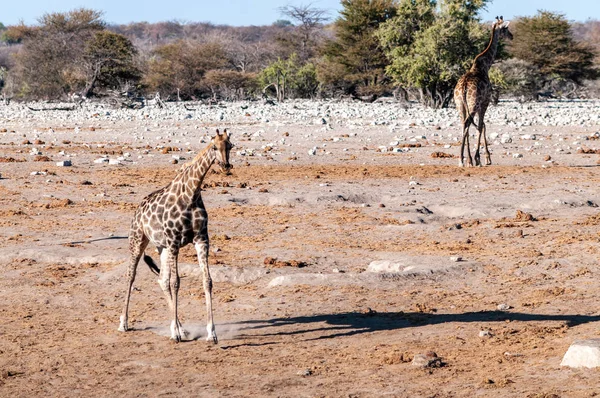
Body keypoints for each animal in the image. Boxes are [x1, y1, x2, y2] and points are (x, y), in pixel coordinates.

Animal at [119, 128, 234, 342]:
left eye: (230, 146)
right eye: (214, 147)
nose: (225, 166)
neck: (191, 194)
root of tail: (138, 208)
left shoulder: (201, 239)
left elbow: (207, 281)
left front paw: (211, 333)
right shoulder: (174, 241)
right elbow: (176, 282)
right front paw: (176, 335)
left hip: (161, 247)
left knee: (162, 280)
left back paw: (180, 328)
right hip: (138, 240)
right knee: (131, 275)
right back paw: (124, 323)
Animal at [452, 15, 512, 166]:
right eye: (506, 28)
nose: (512, 36)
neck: (485, 65)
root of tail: (463, 87)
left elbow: (480, 125)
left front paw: (478, 158)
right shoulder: (485, 101)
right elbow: (480, 126)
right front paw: (480, 158)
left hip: (460, 104)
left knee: (464, 124)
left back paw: (463, 159)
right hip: (473, 104)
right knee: (469, 123)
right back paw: (464, 159)